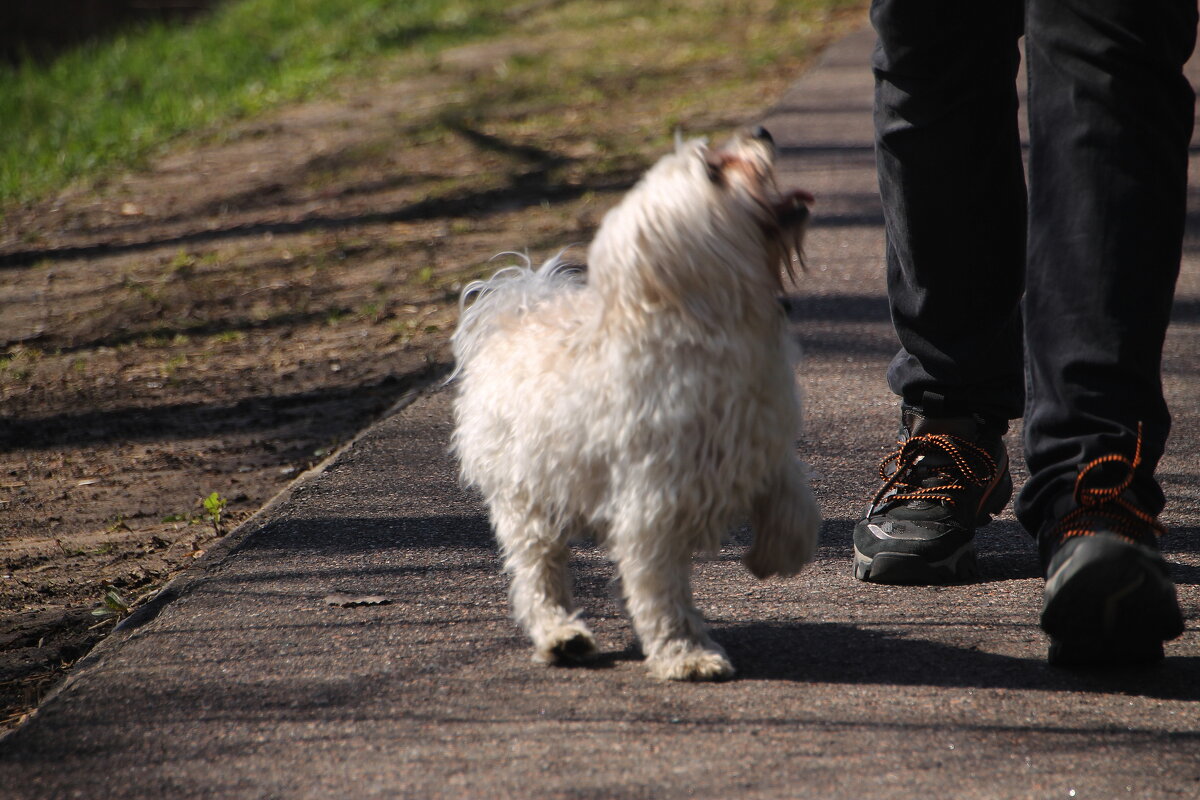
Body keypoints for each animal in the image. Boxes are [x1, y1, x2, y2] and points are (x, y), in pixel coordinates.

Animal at [451, 130, 825, 681]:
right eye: (713, 170)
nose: (761, 134)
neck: (709, 327)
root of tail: (519, 308)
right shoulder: (651, 504)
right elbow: (659, 589)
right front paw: (685, 652)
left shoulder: (761, 446)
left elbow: (796, 507)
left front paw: (773, 556)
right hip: (525, 496)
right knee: (538, 573)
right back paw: (560, 635)